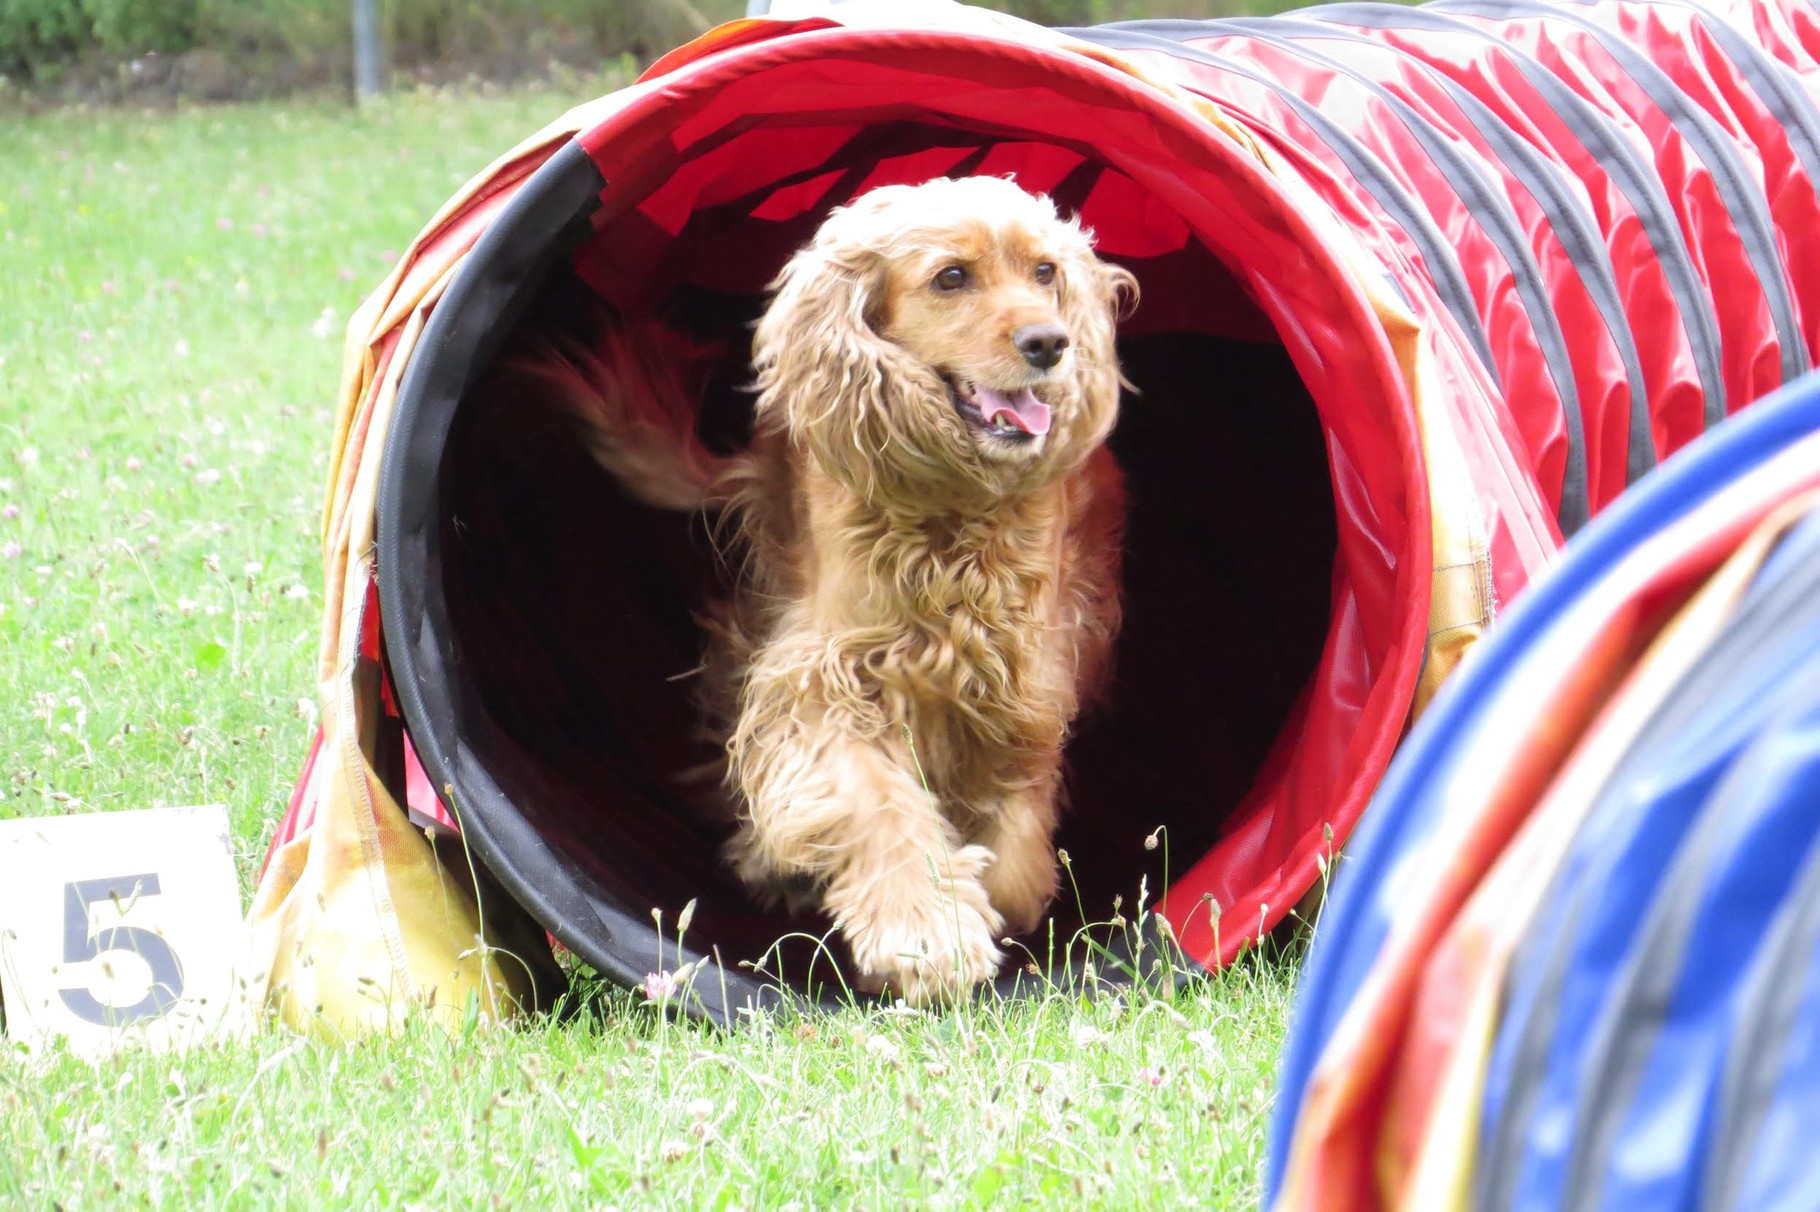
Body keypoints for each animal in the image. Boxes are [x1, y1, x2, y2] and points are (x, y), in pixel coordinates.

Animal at [513, 174, 1128, 997]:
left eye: (1045, 272)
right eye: (951, 277)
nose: (1050, 344)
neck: (953, 513)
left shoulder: (1025, 679)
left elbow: (1018, 822)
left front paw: (1001, 894)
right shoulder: (827, 678)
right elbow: (872, 802)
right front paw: (924, 932)